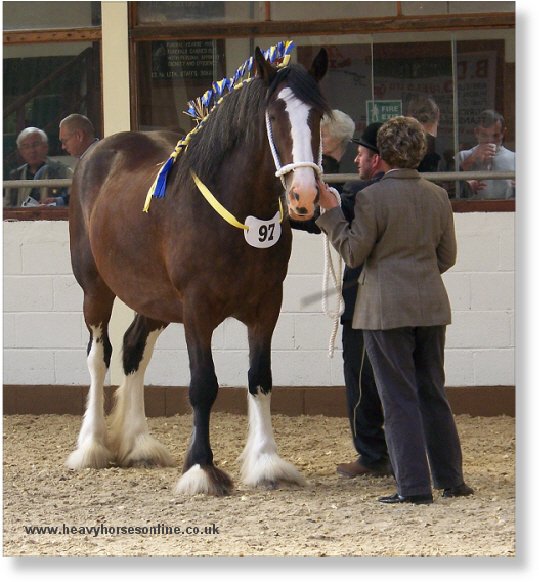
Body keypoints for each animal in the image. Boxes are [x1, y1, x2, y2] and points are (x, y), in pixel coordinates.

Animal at [66, 48, 332, 498]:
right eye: (274, 115)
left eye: (317, 115)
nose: (305, 195)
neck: (236, 215)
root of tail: (96, 152)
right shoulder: (197, 309)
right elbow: (203, 385)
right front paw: (201, 468)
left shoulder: (267, 307)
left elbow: (260, 378)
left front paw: (266, 462)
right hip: (96, 290)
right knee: (98, 357)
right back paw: (91, 447)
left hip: (153, 300)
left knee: (134, 349)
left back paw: (138, 444)